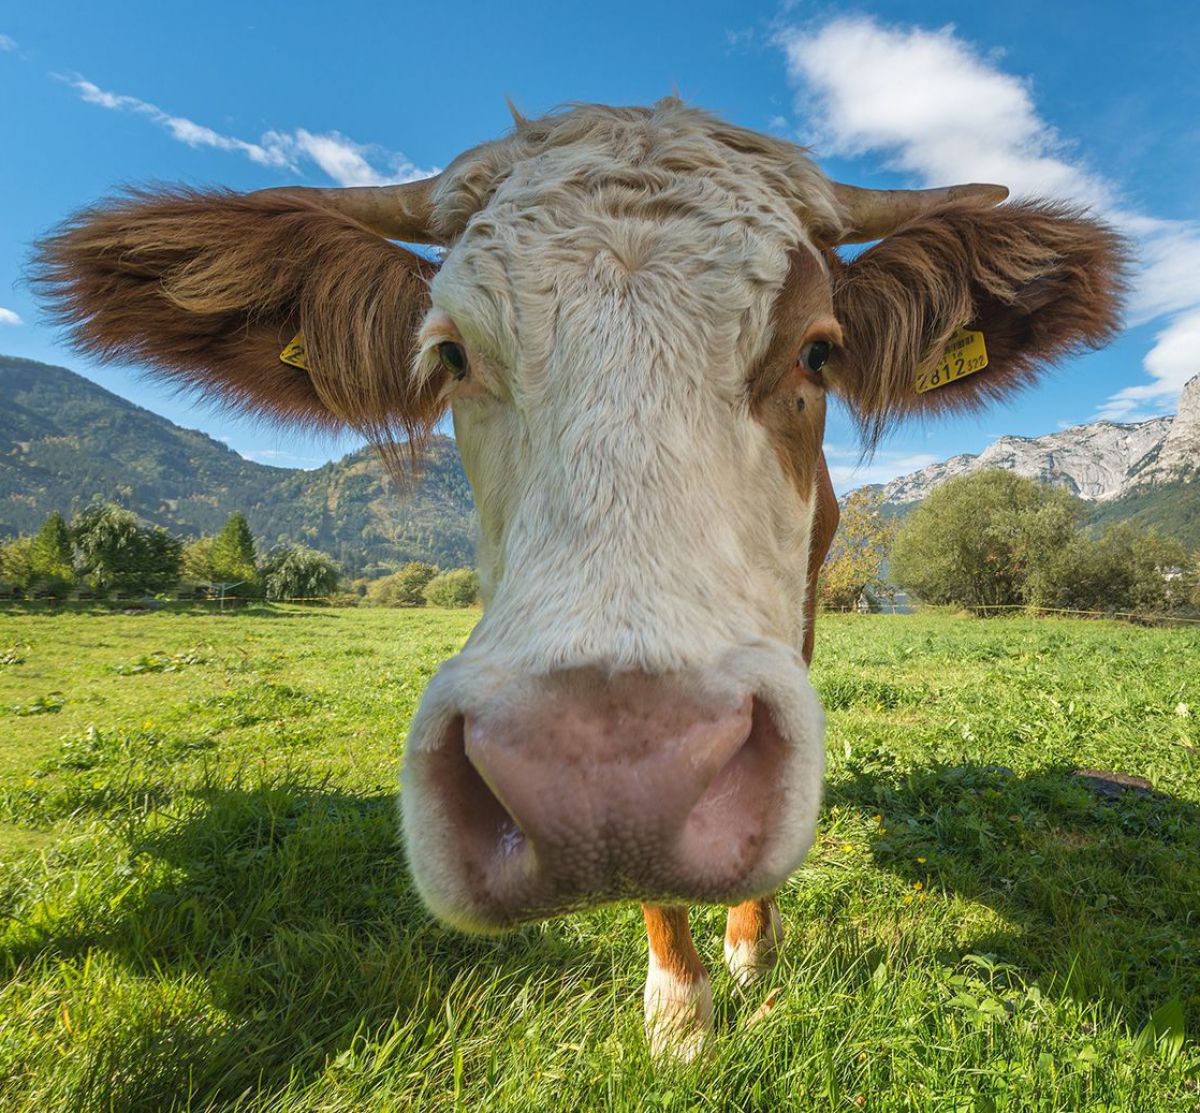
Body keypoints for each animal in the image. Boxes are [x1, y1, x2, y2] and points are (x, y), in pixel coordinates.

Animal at [35, 97, 1123, 1060]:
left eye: (819, 350)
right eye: (449, 354)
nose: (602, 783)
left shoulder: (799, 600)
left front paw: (752, 946)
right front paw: (680, 1011)